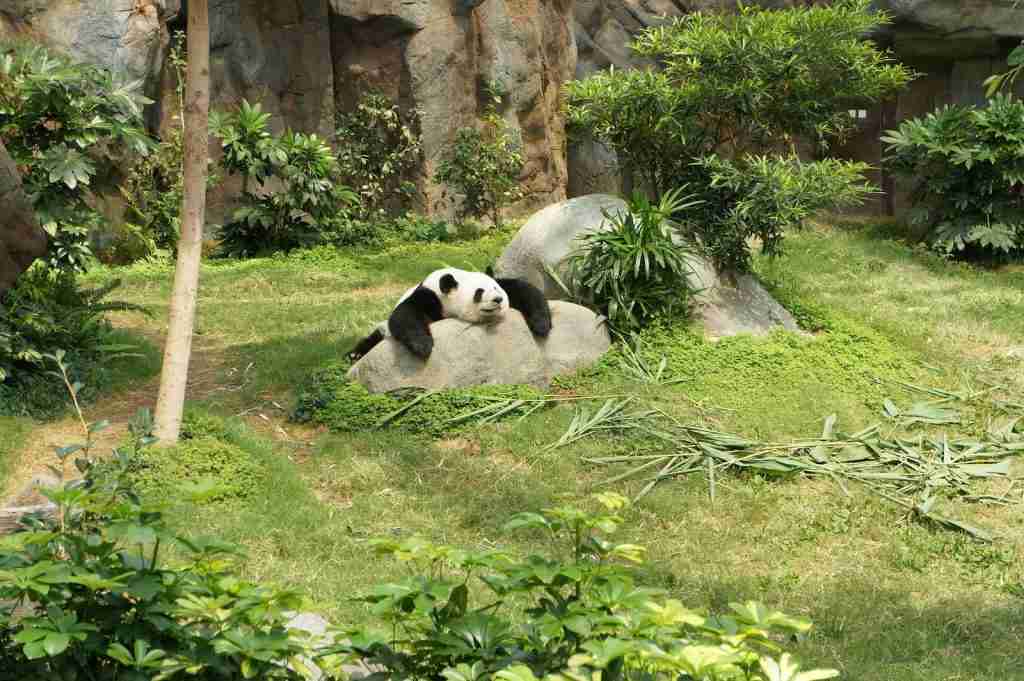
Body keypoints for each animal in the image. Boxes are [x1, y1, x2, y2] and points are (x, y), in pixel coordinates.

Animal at [350, 266, 552, 360]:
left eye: (496, 288)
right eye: (479, 292)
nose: (498, 300)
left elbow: (525, 290)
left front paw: (541, 325)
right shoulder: (429, 296)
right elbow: (405, 314)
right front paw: (423, 346)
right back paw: (354, 355)